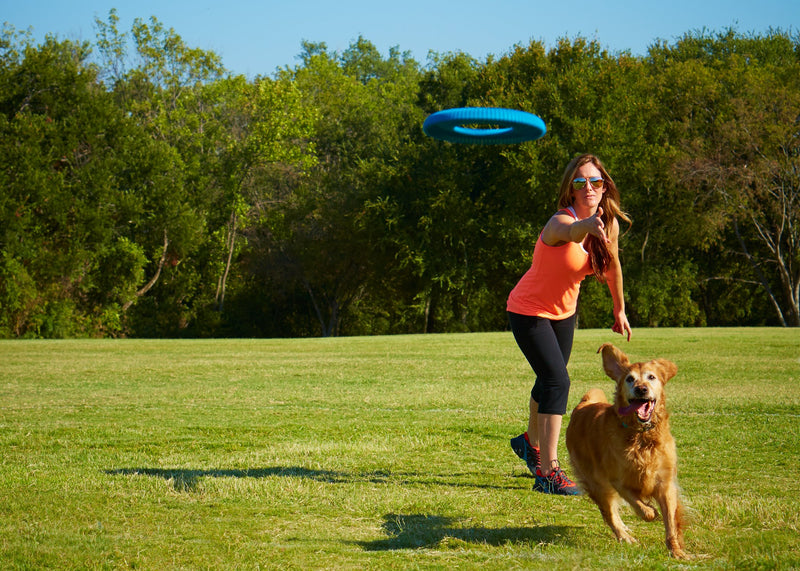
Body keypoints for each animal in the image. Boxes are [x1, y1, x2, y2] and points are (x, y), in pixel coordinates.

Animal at [564, 344, 688, 560]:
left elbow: (671, 522)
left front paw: (677, 551)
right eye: (630, 379)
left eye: (651, 377)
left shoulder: (665, 482)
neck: (641, 436)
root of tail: (583, 404)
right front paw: (651, 511)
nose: (641, 389)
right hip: (597, 483)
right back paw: (625, 537)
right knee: (609, 513)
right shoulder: (618, 480)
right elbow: (641, 507)